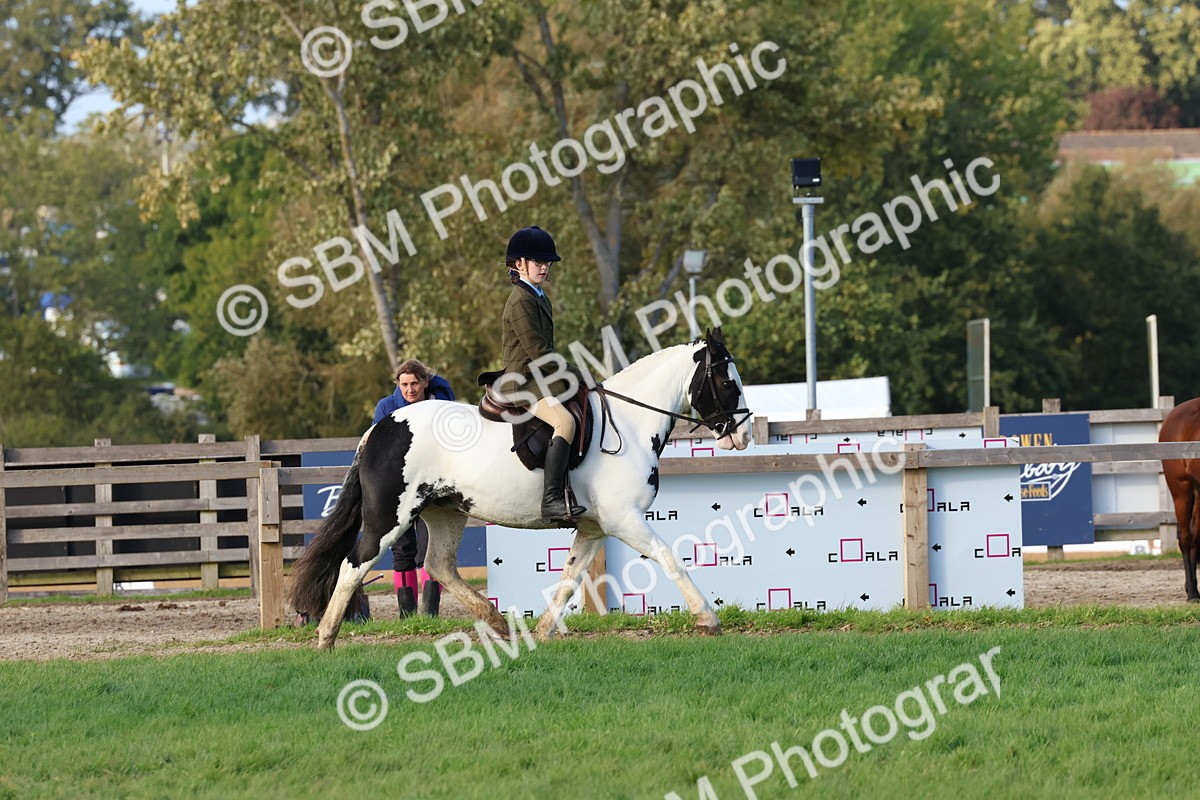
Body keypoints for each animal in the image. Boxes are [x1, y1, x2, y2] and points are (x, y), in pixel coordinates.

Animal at [286, 328, 753, 649]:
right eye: (727, 382)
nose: (744, 435)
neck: (629, 424)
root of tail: (382, 426)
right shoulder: (625, 520)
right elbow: (670, 558)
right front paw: (708, 619)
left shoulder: (594, 528)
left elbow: (570, 578)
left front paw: (543, 631)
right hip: (390, 515)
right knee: (354, 564)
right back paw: (326, 637)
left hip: (446, 511)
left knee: (439, 566)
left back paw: (496, 623)